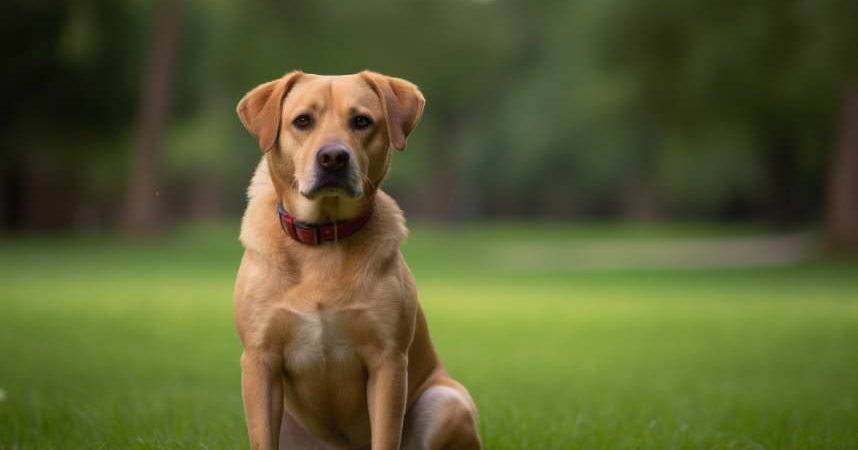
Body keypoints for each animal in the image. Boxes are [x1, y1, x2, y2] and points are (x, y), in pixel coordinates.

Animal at [232, 70, 482, 450]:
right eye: (302, 121)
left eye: (361, 121)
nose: (333, 157)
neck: (323, 239)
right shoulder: (260, 362)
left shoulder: (387, 362)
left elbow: (385, 436)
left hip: (445, 401)